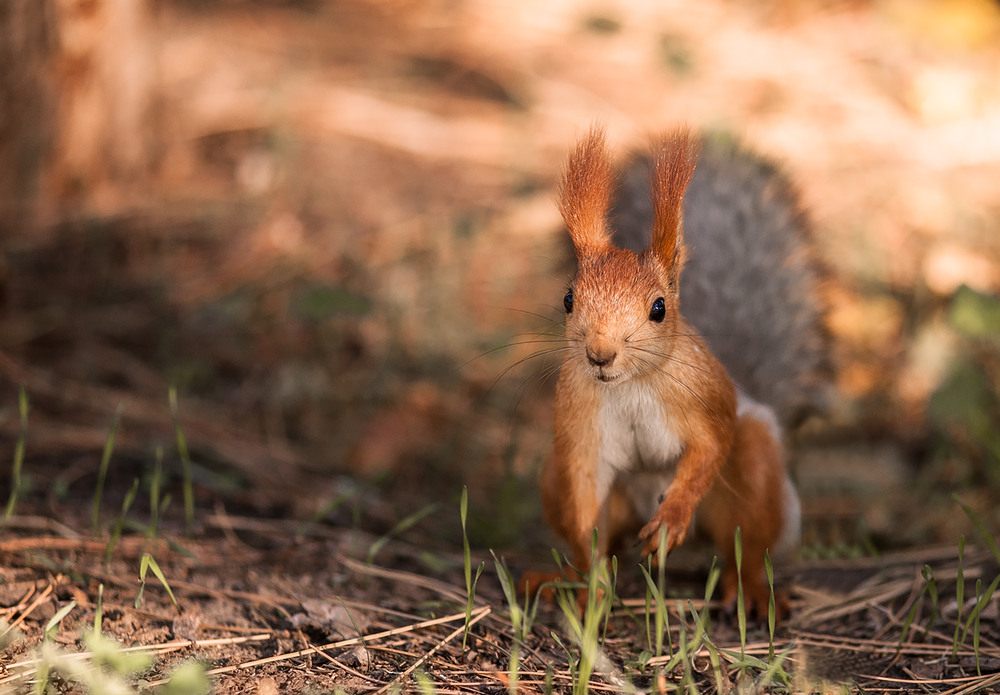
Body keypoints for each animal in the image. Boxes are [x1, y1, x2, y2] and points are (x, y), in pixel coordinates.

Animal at [536, 125, 832, 616]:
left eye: (658, 308)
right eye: (568, 299)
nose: (599, 355)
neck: (630, 387)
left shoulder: (706, 397)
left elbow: (710, 447)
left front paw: (672, 517)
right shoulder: (578, 428)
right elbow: (584, 505)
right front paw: (589, 588)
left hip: (754, 471)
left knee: (747, 544)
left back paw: (750, 589)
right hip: (559, 479)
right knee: (607, 538)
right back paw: (560, 577)